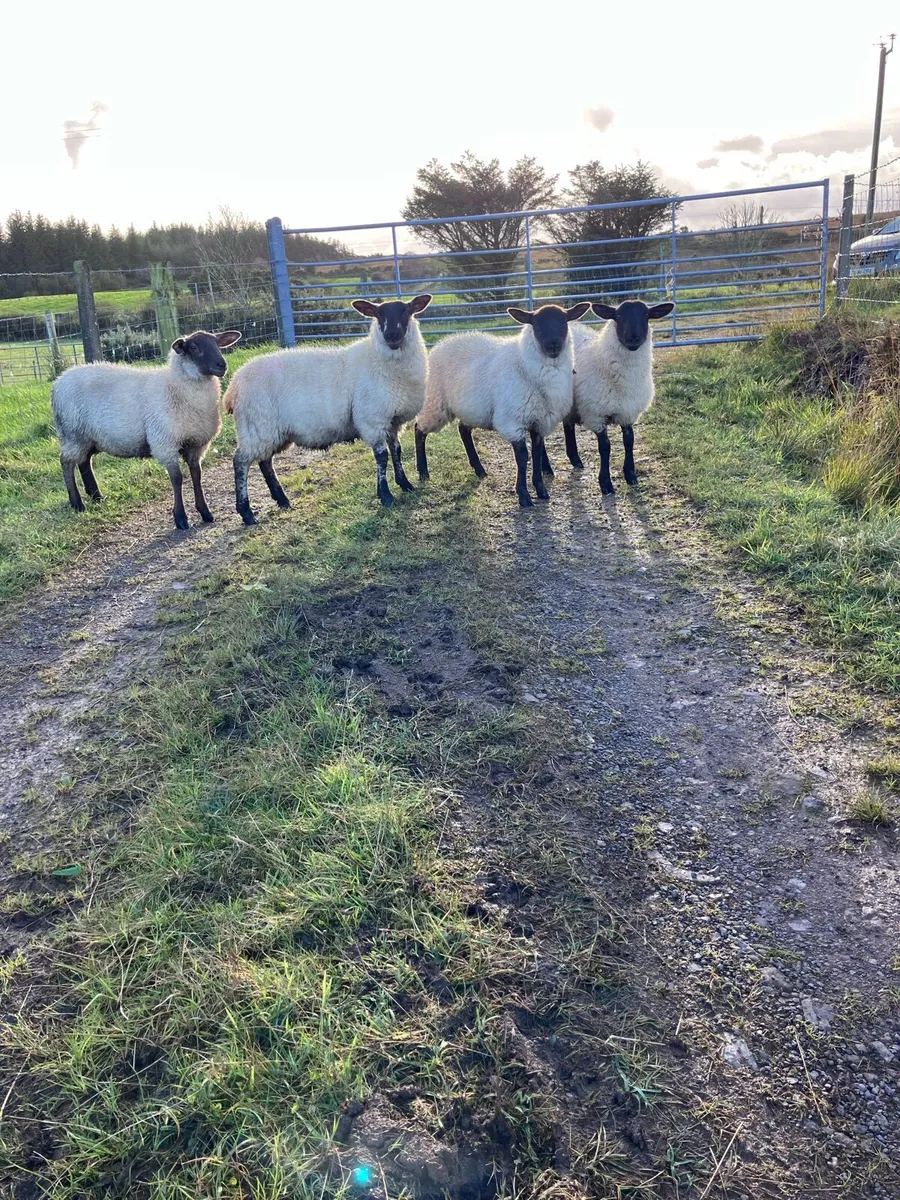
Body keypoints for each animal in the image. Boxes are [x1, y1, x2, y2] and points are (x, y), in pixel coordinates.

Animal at [51, 329, 242, 529]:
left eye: (217, 343)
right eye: (194, 347)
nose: (222, 365)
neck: (175, 386)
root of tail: (59, 381)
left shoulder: (196, 444)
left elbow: (196, 475)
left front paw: (205, 512)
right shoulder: (164, 443)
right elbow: (177, 479)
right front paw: (181, 518)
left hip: (88, 437)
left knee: (84, 461)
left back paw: (96, 496)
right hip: (72, 433)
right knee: (66, 462)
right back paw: (77, 503)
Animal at [224, 295, 432, 523]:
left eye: (406, 311)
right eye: (378, 314)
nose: (392, 335)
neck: (377, 358)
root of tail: (234, 384)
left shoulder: (393, 421)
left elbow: (397, 451)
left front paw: (405, 485)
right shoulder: (372, 419)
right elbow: (382, 457)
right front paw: (386, 496)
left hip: (270, 430)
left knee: (265, 461)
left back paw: (282, 500)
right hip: (256, 426)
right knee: (241, 462)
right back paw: (246, 512)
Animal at [414, 302, 590, 508]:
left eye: (564, 323)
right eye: (537, 325)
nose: (553, 345)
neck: (524, 365)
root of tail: (442, 343)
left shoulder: (540, 421)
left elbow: (537, 454)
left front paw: (541, 491)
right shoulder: (512, 422)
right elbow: (523, 457)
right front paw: (524, 496)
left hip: (471, 410)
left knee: (463, 430)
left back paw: (479, 470)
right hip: (435, 404)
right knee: (419, 429)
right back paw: (423, 472)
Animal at [552, 299, 674, 494]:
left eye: (646, 315)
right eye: (618, 316)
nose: (633, 338)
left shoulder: (628, 412)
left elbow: (629, 441)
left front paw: (631, 476)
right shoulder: (596, 414)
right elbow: (605, 447)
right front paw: (605, 483)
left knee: (568, 426)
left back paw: (576, 460)